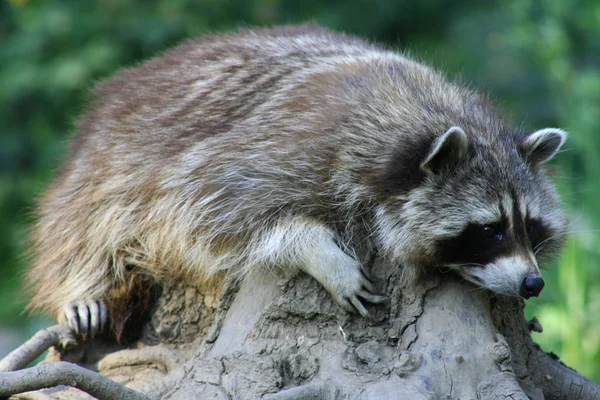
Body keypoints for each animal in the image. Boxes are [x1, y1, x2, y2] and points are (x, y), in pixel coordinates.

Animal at [24, 25, 568, 338]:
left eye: (530, 227)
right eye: (490, 229)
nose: (533, 282)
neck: (420, 113)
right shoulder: (294, 145)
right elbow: (201, 206)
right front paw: (315, 249)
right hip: (104, 158)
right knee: (86, 222)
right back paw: (81, 283)